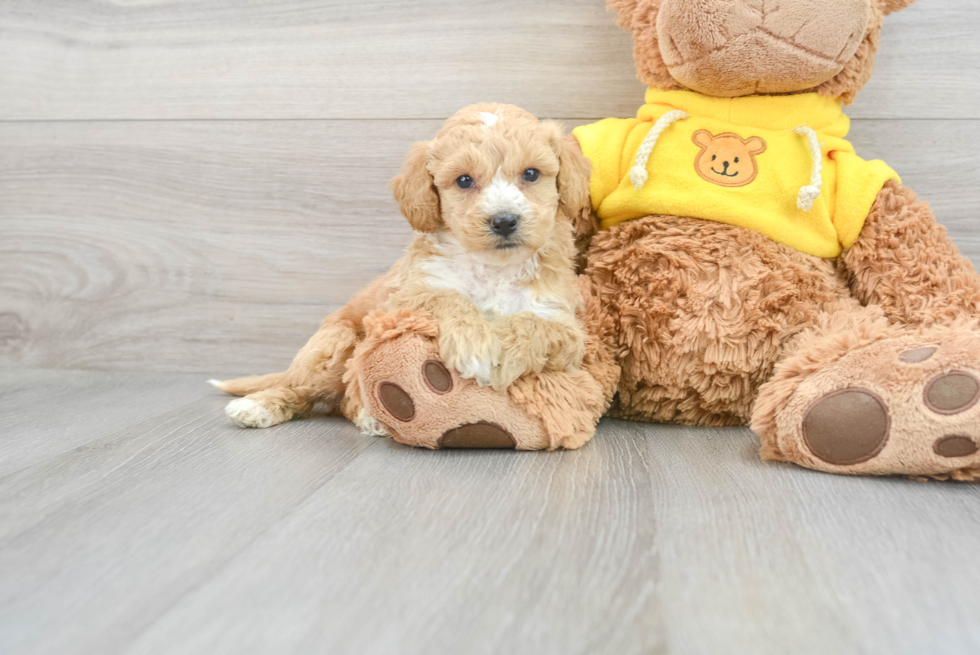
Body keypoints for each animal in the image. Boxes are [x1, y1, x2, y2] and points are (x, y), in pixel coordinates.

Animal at [212, 105, 592, 434]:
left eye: (531, 174)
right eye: (464, 181)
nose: (504, 221)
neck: (493, 269)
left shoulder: (565, 326)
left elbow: (534, 324)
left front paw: (501, 356)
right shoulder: (404, 298)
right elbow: (447, 297)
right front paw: (474, 347)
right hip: (336, 342)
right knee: (308, 390)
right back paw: (260, 406)